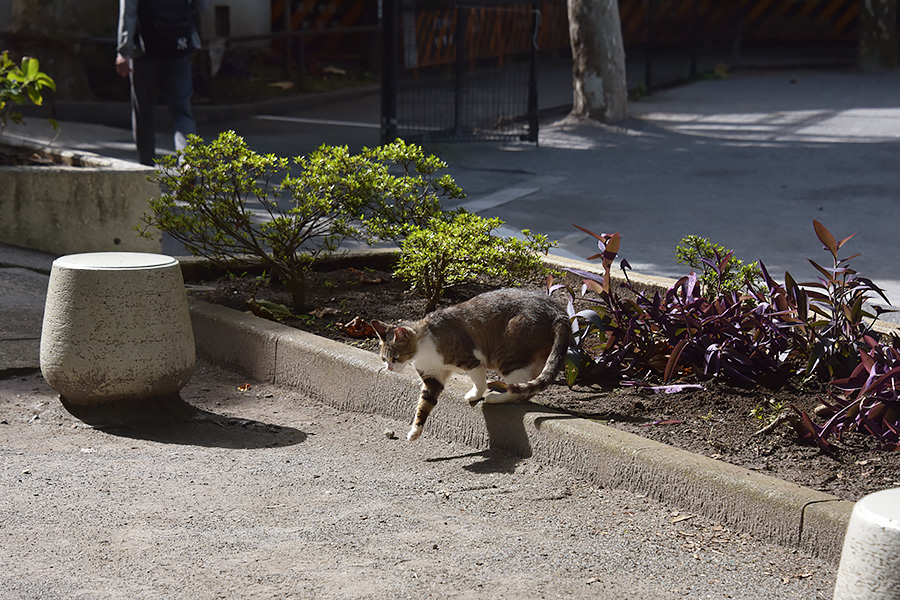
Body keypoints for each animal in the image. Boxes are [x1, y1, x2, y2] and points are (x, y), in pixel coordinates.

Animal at [370, 288, 568, 442]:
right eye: (384, 359)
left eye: (395, 358)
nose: (389, 368)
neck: (424, 350)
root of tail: (557, 311)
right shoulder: (433, 376)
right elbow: (424, 404)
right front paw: (415, 431)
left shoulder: (472, 361)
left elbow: (479, 383)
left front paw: (474, 395)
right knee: (530, 385)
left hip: (509, 354)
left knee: (520, 388)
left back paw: (496, 398)